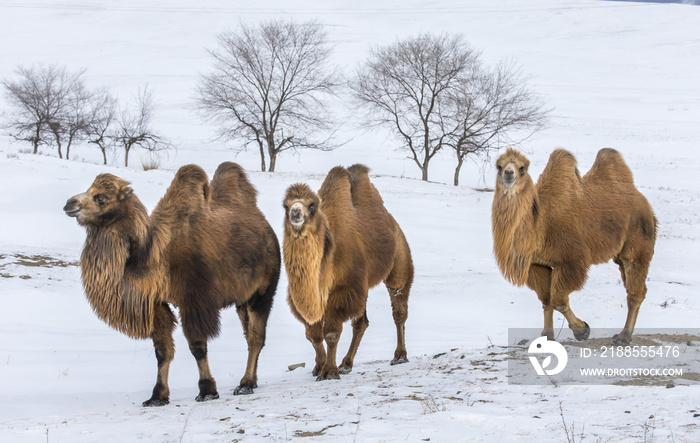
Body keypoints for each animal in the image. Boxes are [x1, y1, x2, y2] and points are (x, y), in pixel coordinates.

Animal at [63, 162, 280, 406]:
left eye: (100, 197)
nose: (69, 204)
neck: (155, 255)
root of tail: (267, 229)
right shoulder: (156, 303)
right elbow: (162, 351)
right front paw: (157, 396)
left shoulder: (194, 299)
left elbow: (197, 347)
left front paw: (207, 390)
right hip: (242, 298)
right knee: (249, 333)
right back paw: (252, 381)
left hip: (263, 290)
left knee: (255, 336)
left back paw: (245, 384)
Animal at [282, 165, 412, 380]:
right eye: (285, 206)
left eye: (312, 205)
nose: (295, 213)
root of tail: (393, 223)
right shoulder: (305, 298)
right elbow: (313, 335)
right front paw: (320, 366)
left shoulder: (344, 289)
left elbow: (330, 334)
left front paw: (329, 371)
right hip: (363, 285)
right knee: (361, 323)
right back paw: (346, 364)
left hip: (400, 261)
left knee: (398, 309)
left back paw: (399, 356)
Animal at [492, 147, 656, 346]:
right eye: (499, 166)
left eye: (522, 168)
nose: (509, 174)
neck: (539, 225)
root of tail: (644, 202)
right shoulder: (536, 264)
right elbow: (546, 300)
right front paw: (547, 336)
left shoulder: (570, 261)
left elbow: (558, 301)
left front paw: (582, 330)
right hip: (619, 254)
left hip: (638, 244)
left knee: (634, 291)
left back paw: (623, 337)